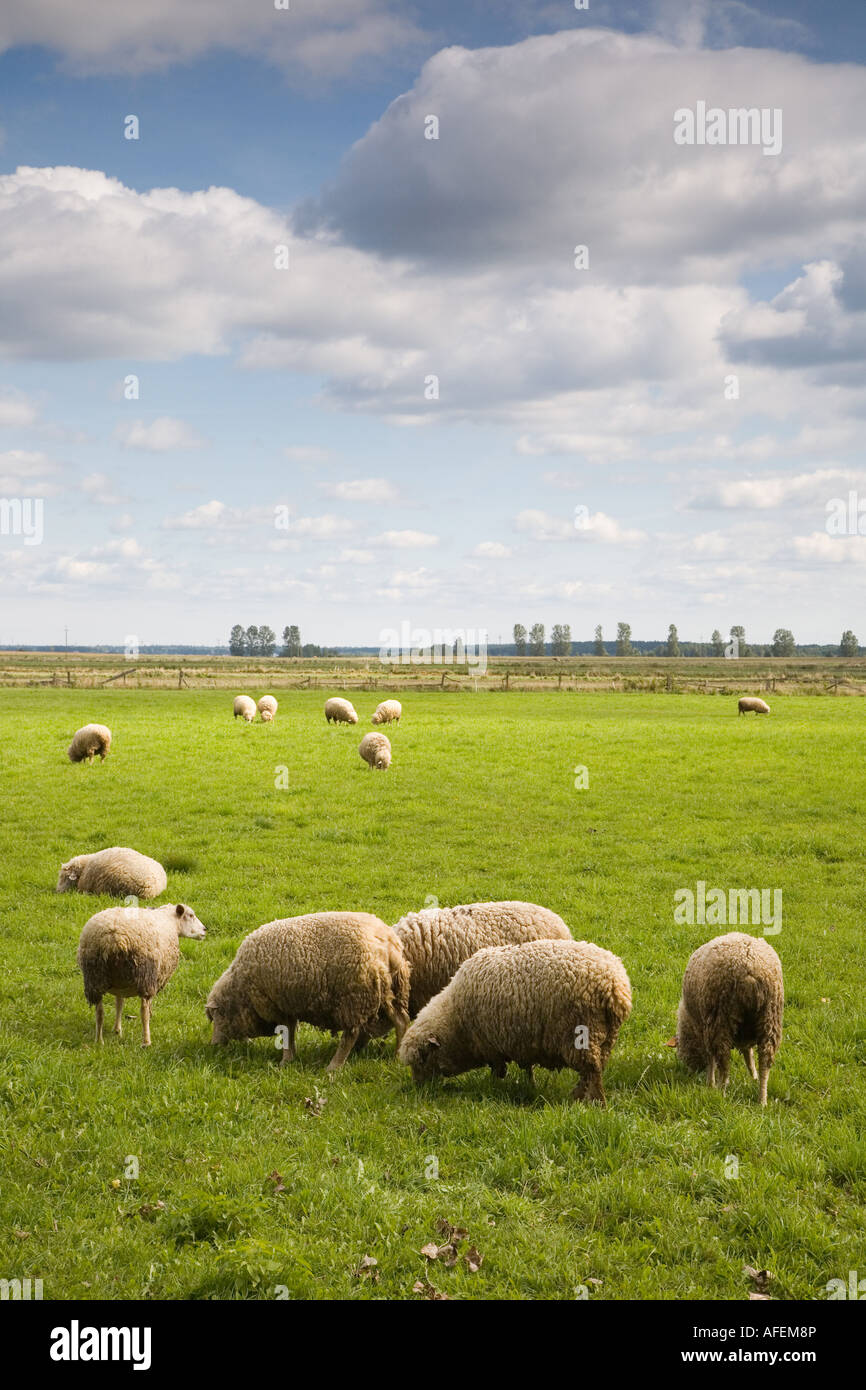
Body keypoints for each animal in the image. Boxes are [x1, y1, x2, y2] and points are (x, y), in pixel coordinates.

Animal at [77, 903, 206, 1046]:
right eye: (191, 915)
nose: (205, 930)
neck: (171, 922)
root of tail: (115, 938)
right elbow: (144, 1008)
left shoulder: (119, 985)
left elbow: (119, 1004)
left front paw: (117, 1030)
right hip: (145, 976)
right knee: (143, 1011)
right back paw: (146, 1041)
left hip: (94, 976)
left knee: (99, 1011)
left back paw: (99, 1041)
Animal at [206, 912, 411, 1071]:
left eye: (217, 1016)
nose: (213, 1045)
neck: (241, 988)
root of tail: (386, 942)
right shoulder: (287, 1004)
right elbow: (290, 1031)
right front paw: (291, 1058)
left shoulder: (275, 1004)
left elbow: (286, 1032)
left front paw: (286, 1060)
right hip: (391, 993)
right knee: (401, 1021)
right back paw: (397, 1057)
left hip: (354, 997)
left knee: (350, 1035)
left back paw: (334, 1066)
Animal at [398, 938, 632, 1105]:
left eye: (422, 1059)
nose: (419, 1089)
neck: (455, 1019)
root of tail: (615, 987)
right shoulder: (521, 1041)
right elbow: (526, 1068)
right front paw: (530, 1084)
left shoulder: (490, 1043)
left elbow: (497, 1070)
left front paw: (491, 1086)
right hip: (605, 1037)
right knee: (594, 1070)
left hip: (581, 1032)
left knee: (592, 1071)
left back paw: (593, 1102)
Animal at [671, 932, 783, 1105]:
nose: (691, 1071)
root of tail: (750, 968)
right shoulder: (745, 1037)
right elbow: (748, 1054)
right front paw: (753, 1076)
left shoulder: (703, 1028)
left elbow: (710, 1058)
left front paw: (710, 1083)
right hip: (770, 1018)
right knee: (765, 1061)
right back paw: (762, 1099)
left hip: (720, 1020)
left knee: (723, 1063)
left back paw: (721, 1092)